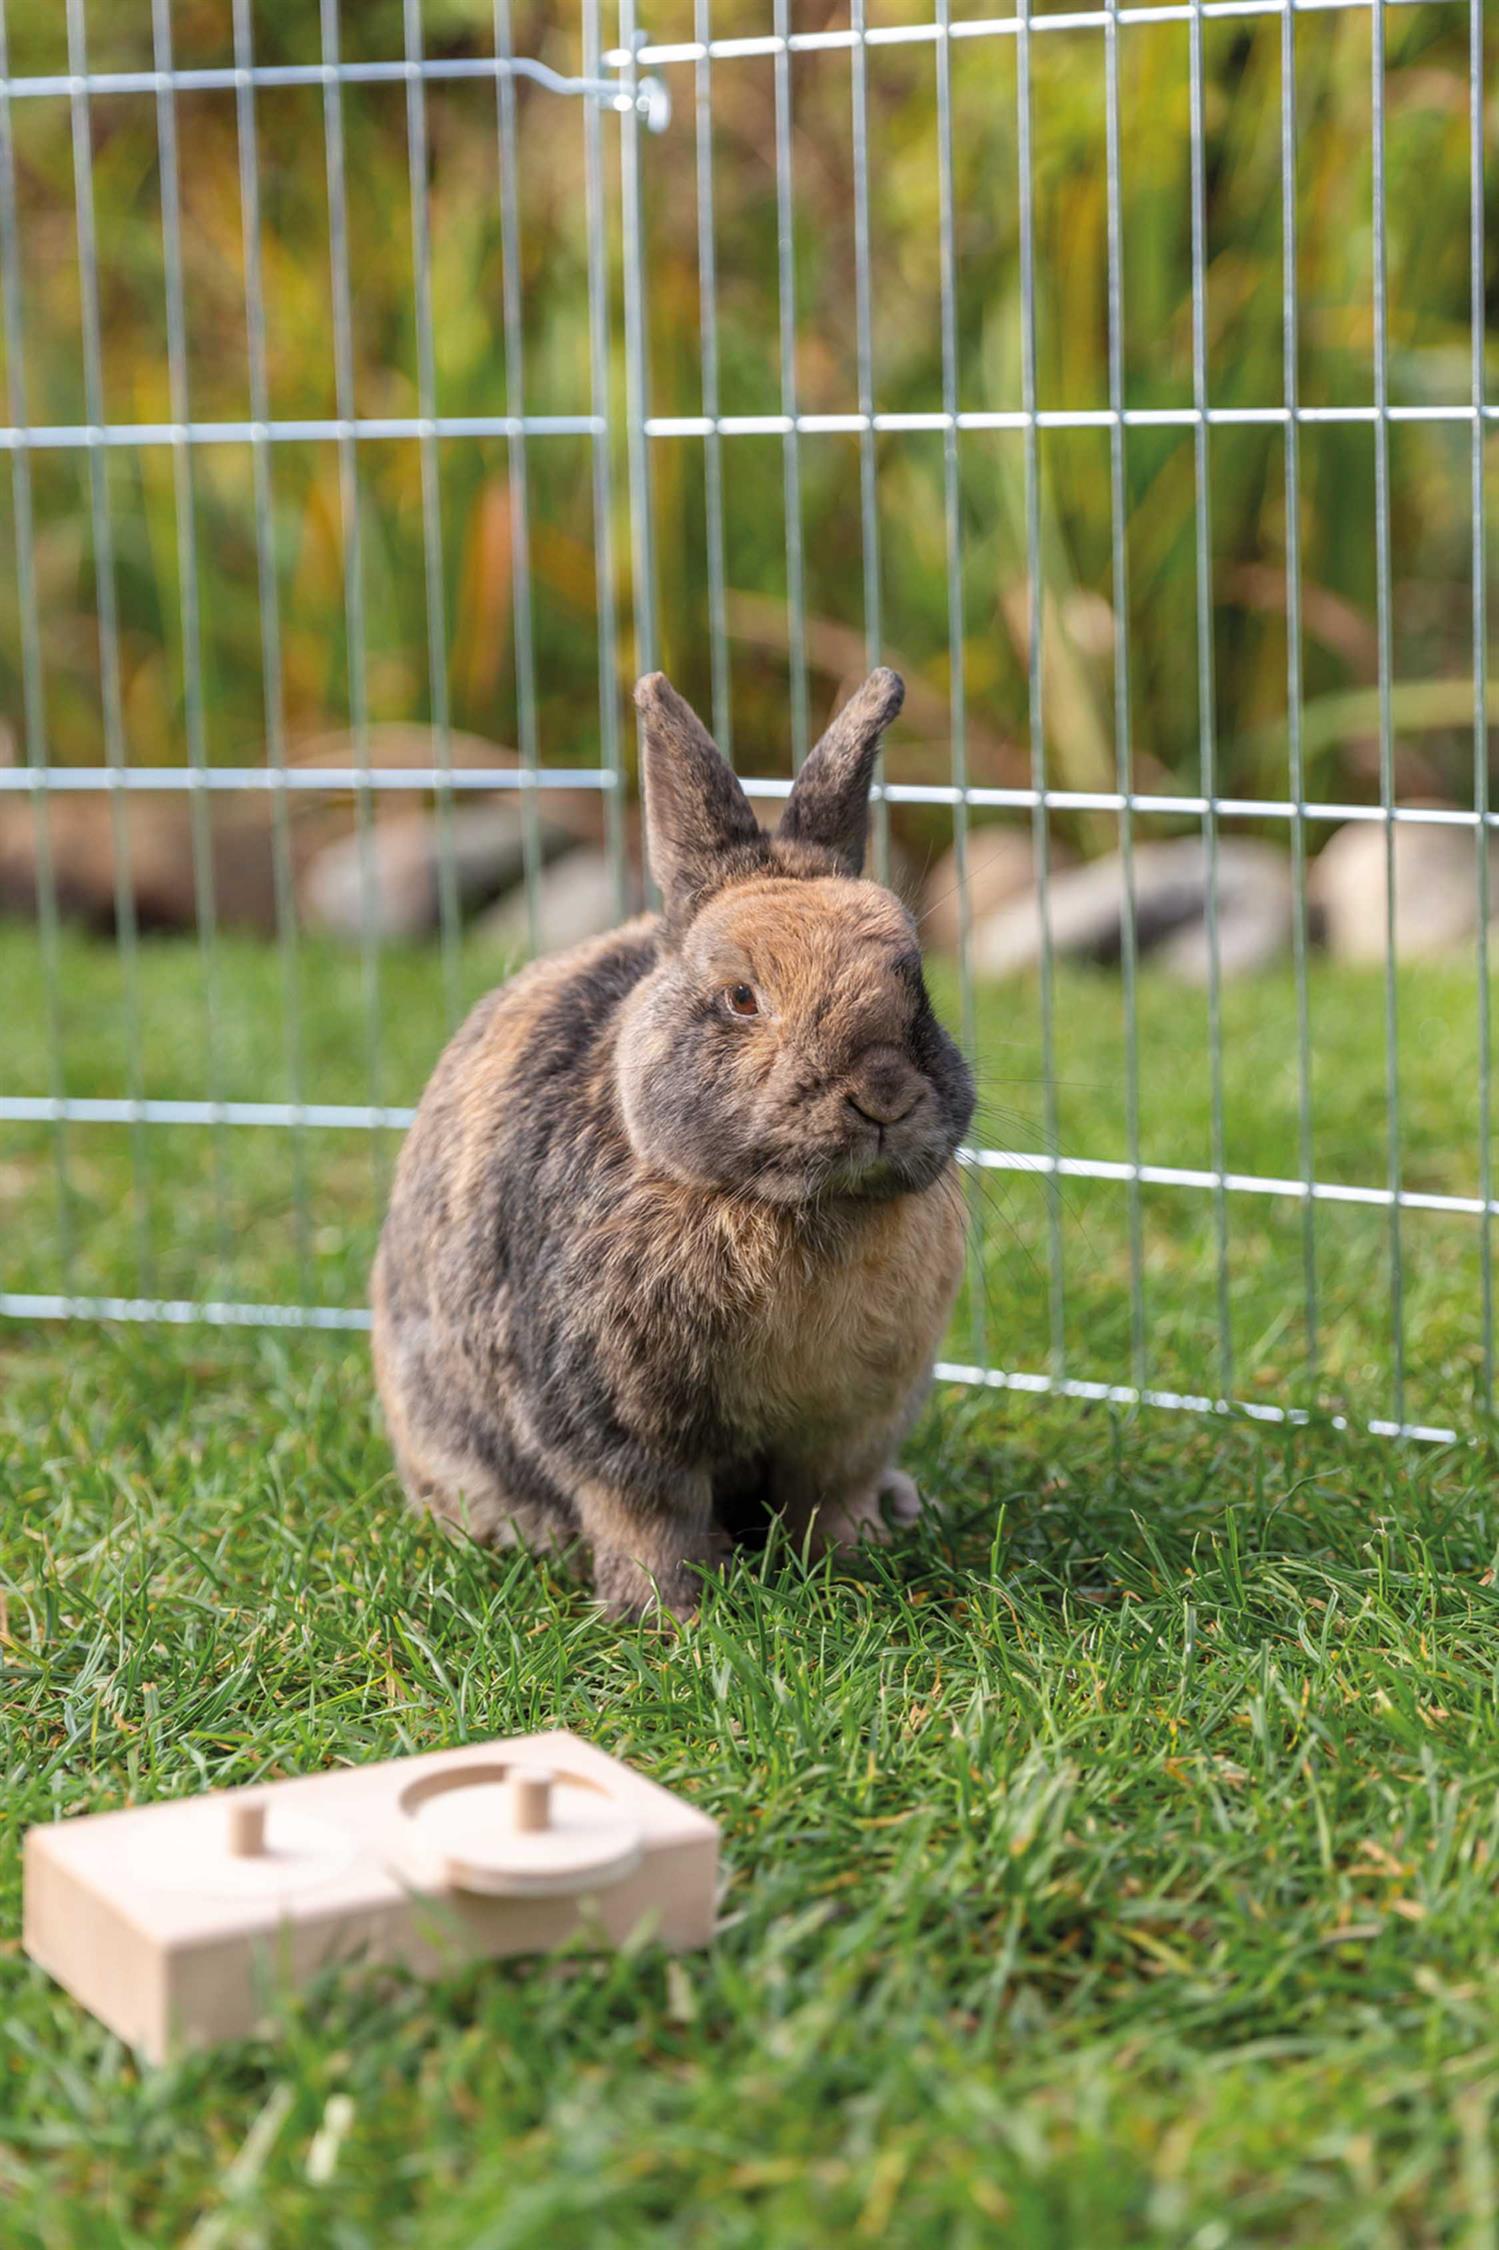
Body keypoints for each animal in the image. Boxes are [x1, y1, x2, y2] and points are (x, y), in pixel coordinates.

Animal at [373, 666, 967, 1620]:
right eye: (741, 998)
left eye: (916, 982)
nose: (881, 1095)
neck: (786, 1208)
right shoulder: (614, 1423)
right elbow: (650, 1517)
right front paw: (671, 1615)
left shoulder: (853, 1426)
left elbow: (829, 1500)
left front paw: (853, 1565)